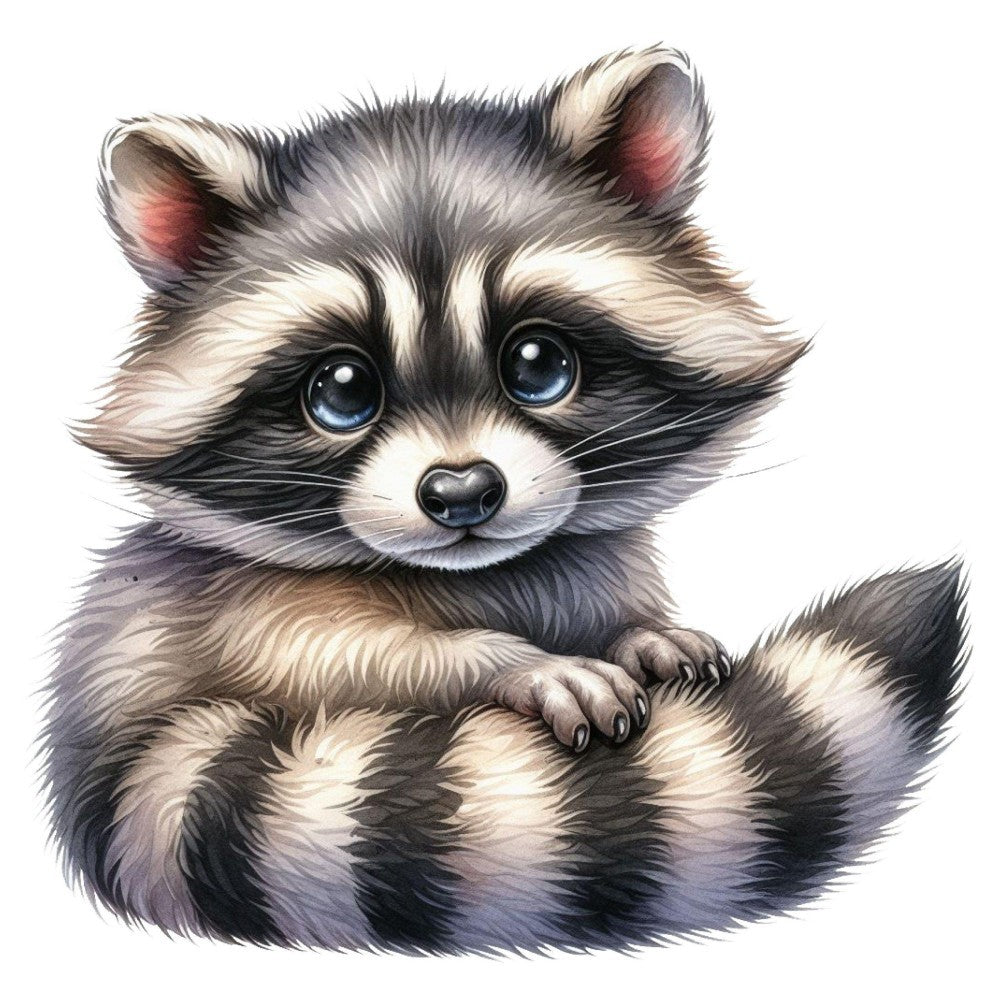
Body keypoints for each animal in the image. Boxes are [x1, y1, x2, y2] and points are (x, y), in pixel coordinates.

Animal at [44, 47, 965, 952]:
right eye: (342, 392)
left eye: (539, 366)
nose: (462, 494)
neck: (489, 572)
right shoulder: (224, 605)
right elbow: (335, 653)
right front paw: (506, 660)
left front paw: (640, 634)